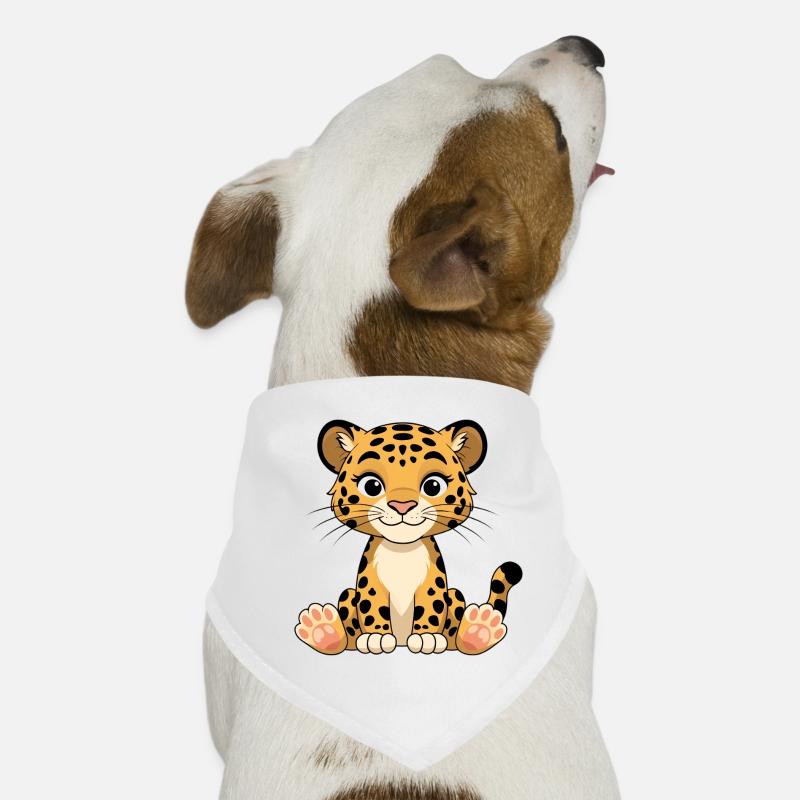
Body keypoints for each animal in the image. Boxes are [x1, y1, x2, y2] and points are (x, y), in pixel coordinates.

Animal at [295, 418, 522, 656]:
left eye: (433, 485)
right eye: (371, 485)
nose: (402, 505)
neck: (401, 549)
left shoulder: (433, 581)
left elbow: (431, 605)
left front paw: (426, 637)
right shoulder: (370, 581)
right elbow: (372, 606)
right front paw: (378, 636)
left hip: (455, 595)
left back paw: (479, 630)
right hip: (348, 595)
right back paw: (323, 630)